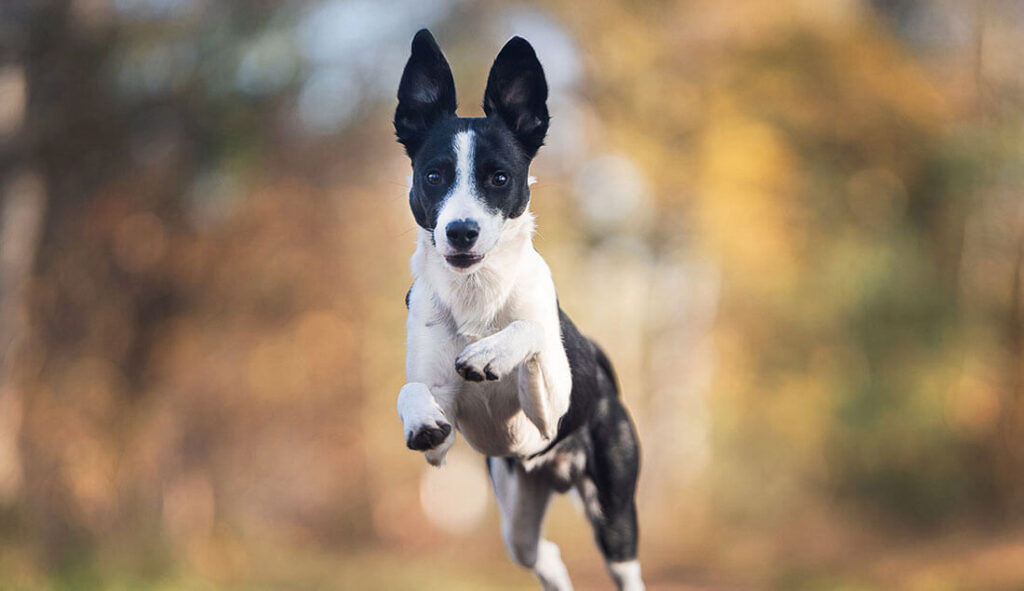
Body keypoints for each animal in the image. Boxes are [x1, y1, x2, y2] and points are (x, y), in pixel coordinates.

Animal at [394, 29, 645, 591]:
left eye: (499, 178)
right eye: (434, 175)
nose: (460, 231)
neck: (476, 295)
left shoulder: (548, 416)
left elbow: (530, 330)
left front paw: (490, 354)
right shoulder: (445, 440)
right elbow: (413, 392)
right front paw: (421, 419)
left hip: (615, 514)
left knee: (622, 560)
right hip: (517, 507)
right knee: (542, 551)